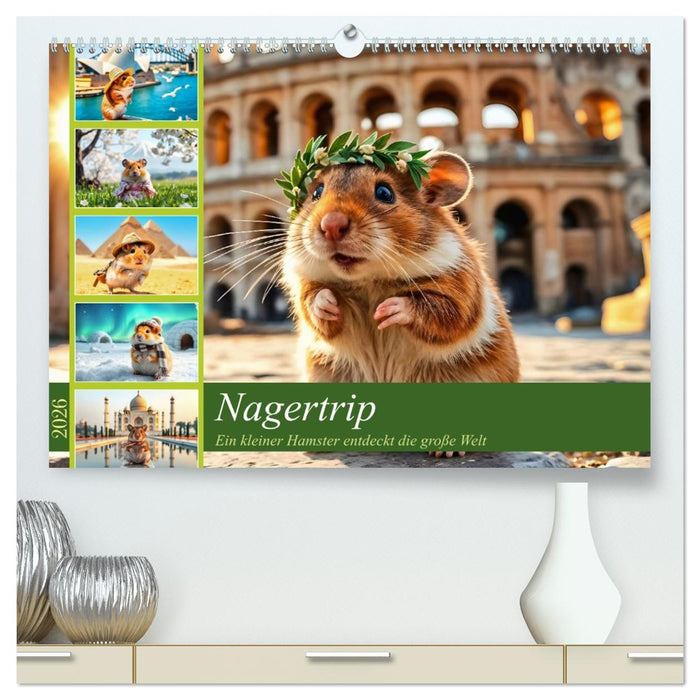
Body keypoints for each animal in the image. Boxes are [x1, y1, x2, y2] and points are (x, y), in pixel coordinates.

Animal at [282, 152, 520, 384]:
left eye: (384, 192)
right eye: (317, 192)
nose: (331, 225)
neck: (368, 281)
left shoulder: (462, 290)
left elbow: (441, 311)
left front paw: (386, 311)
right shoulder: (307, 284)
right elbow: (312, 302)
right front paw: (329, 302)